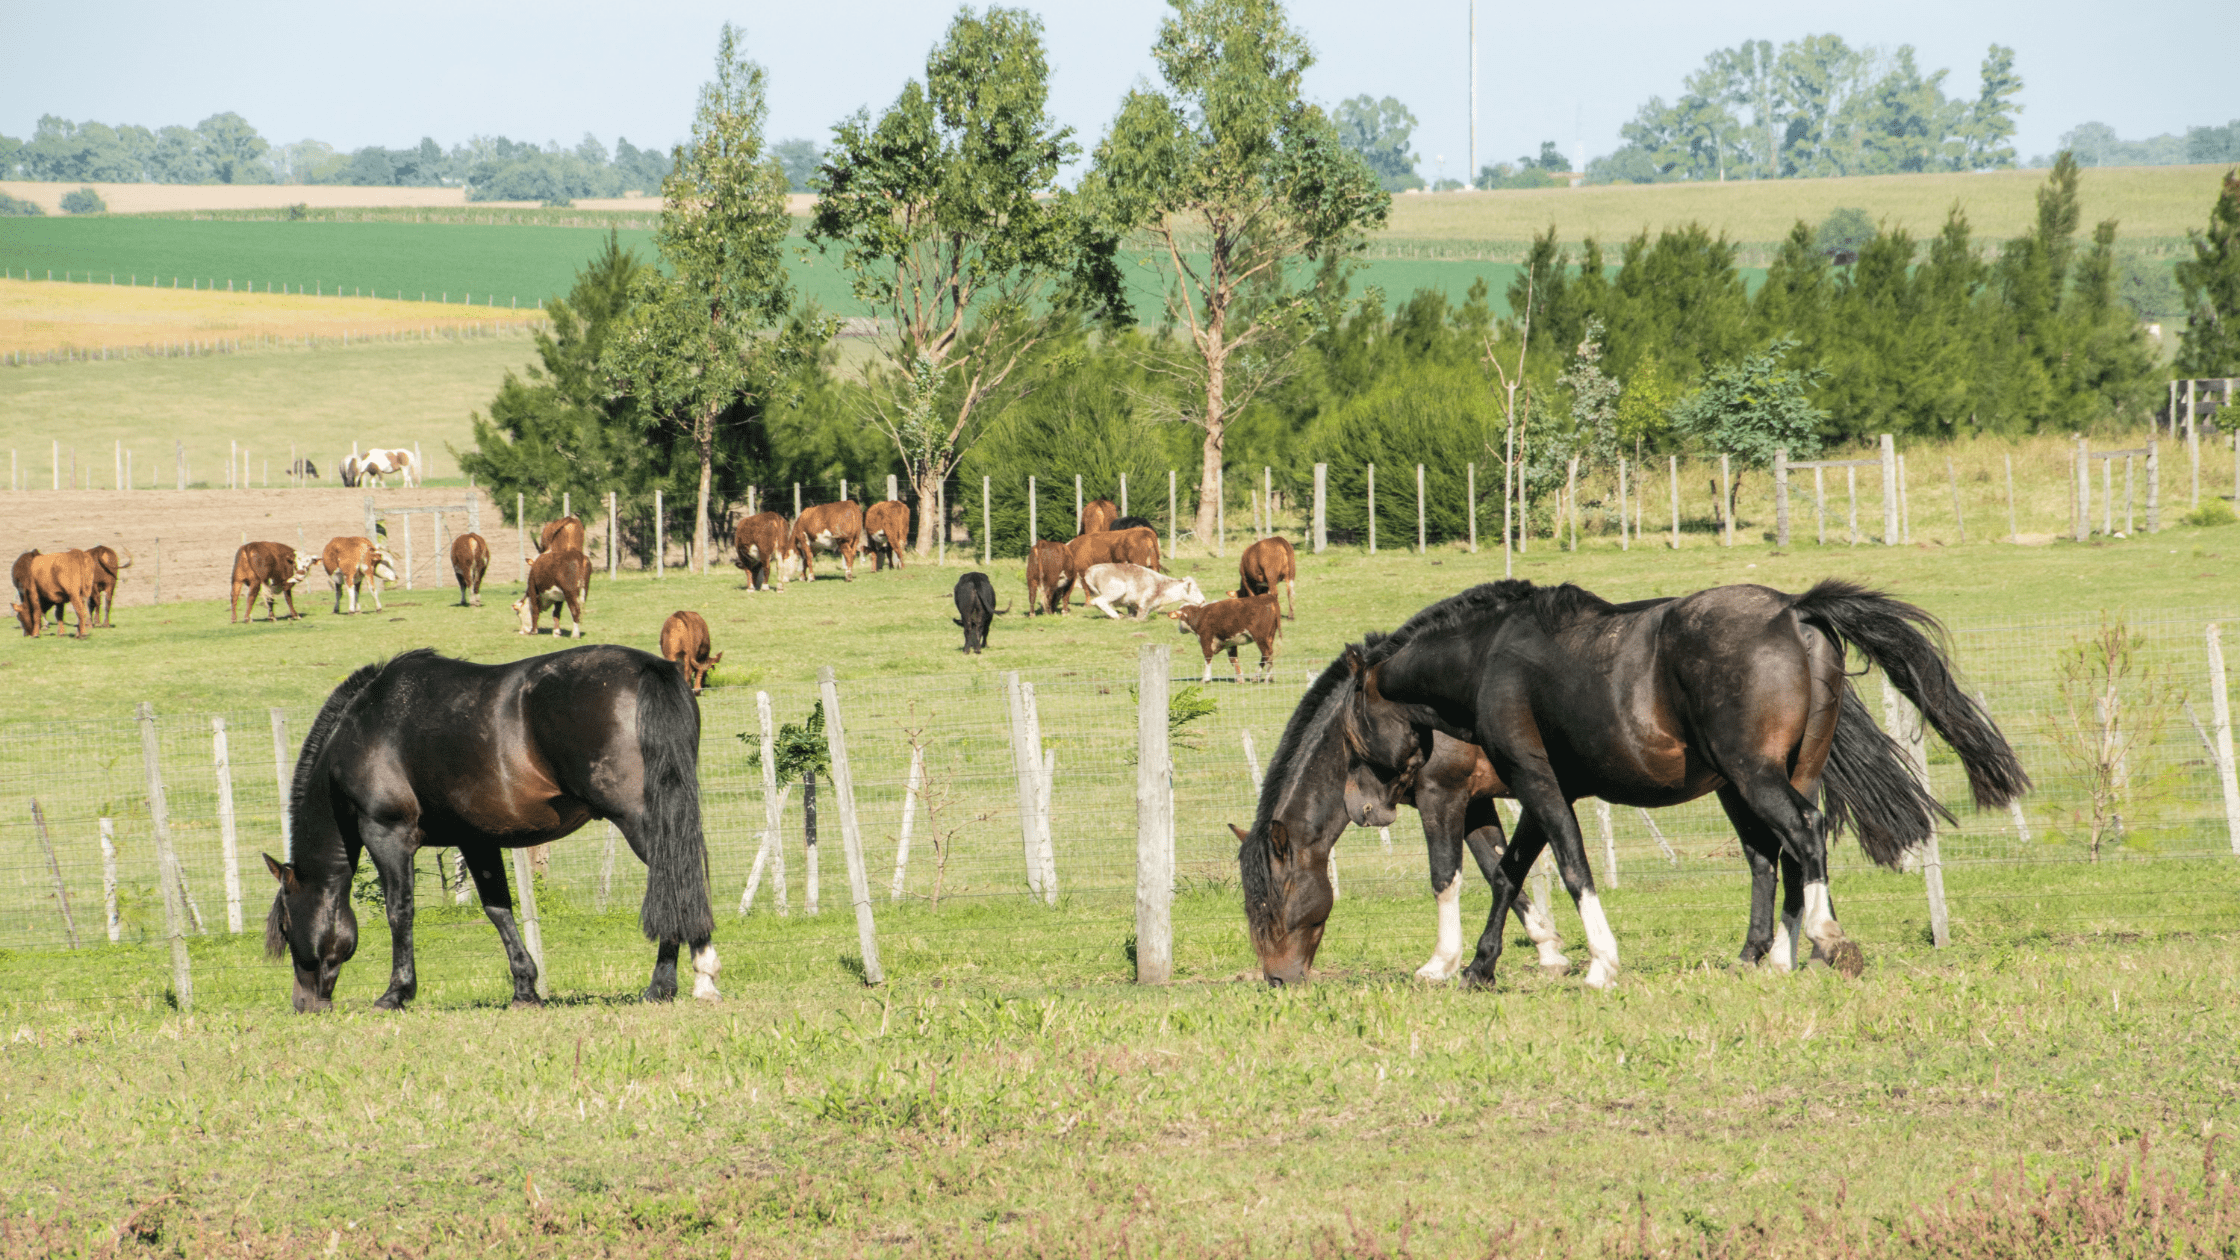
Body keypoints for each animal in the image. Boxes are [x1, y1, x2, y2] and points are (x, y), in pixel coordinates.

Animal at [263, 645, 721, 1008]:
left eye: (286, 927)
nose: (303, 1005)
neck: (363, 728)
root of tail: (649, 667)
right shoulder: (477, 840)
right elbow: (498, 909)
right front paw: (525, 990)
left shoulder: (387, 835)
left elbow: (400, 911)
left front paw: (396, 993)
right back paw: (702, 976)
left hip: (644, 822)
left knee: (674, 879)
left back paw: (666, 985)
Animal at [1070, 560, 1200, 618]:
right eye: (1194, 590)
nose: (1203, 601)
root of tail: (1090, 571)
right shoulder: (1145, 602)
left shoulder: (1134, 604)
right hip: (1116, 590)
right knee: (1098, 601)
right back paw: (1116, 616)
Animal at [1335, 573, 2042, 986]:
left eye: (1350, 729)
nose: (1360, 806)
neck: (1491, 655)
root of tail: (1795, 612)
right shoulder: (1541, 793)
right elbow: (1511, 872)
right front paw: (1479, 966)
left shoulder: (1535, 783)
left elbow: (1570, 867)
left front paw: (1599, 963)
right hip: (1776, 776)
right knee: (1778, 854)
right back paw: (1770, 956)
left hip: (1754, 776)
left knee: (1801, 834)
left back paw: (1821, 939)